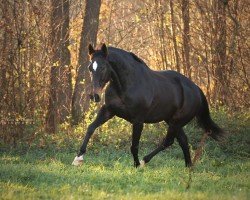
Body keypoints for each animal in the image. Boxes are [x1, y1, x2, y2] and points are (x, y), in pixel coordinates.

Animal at [72, 43, 223, 167]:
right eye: (90, 68)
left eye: (103, 67)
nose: (94, 96)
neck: (126, 86)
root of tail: (196, 89)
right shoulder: (108, 111)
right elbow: (91, 128)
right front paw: (78, 159)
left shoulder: (138, 121)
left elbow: (134, 145)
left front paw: (136, 165)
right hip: (172, 121)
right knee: (183, 140)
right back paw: (188, 167)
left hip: (176, 122)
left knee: (168, 142)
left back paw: (145, 161)